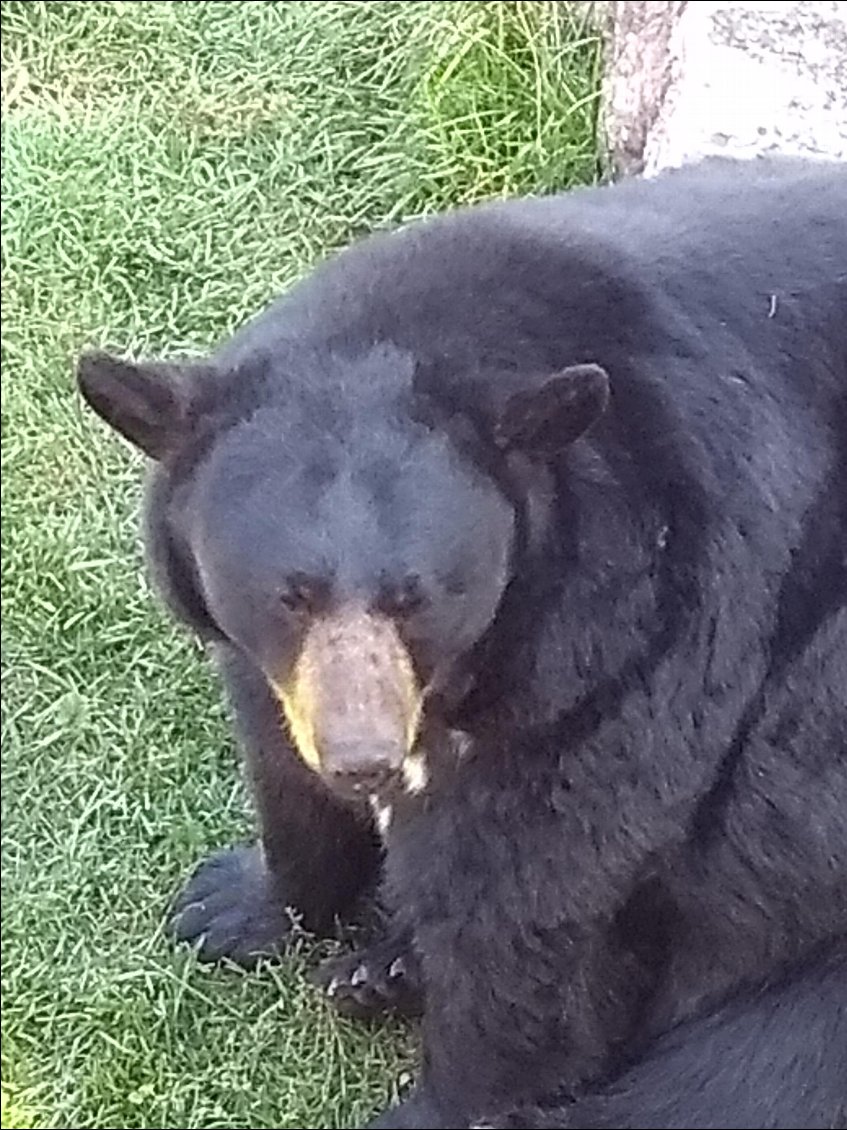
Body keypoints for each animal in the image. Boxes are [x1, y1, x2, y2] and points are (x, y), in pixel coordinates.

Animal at [76, 159, 844, 1130]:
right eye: (290, 597)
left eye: (417, 599)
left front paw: (444, 1094)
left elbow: (531, 890)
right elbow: (279, 764)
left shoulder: (646, 630)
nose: (362, 760)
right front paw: (233, 903)